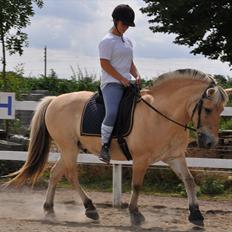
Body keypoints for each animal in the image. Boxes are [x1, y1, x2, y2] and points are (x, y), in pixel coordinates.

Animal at [5, 68, 230, 226]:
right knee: (71, 175)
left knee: (55, 173)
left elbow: (189, 181)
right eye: (207, 109)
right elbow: (137, 185)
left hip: (70, 148)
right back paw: (90, 208)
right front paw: (135, 214)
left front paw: (196, 214)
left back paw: (50, 210)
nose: (210, 142)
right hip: (68, 148)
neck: (161, 113)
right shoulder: (141, 159)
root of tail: (54, 100)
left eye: (221, 110)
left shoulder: (174, 157)